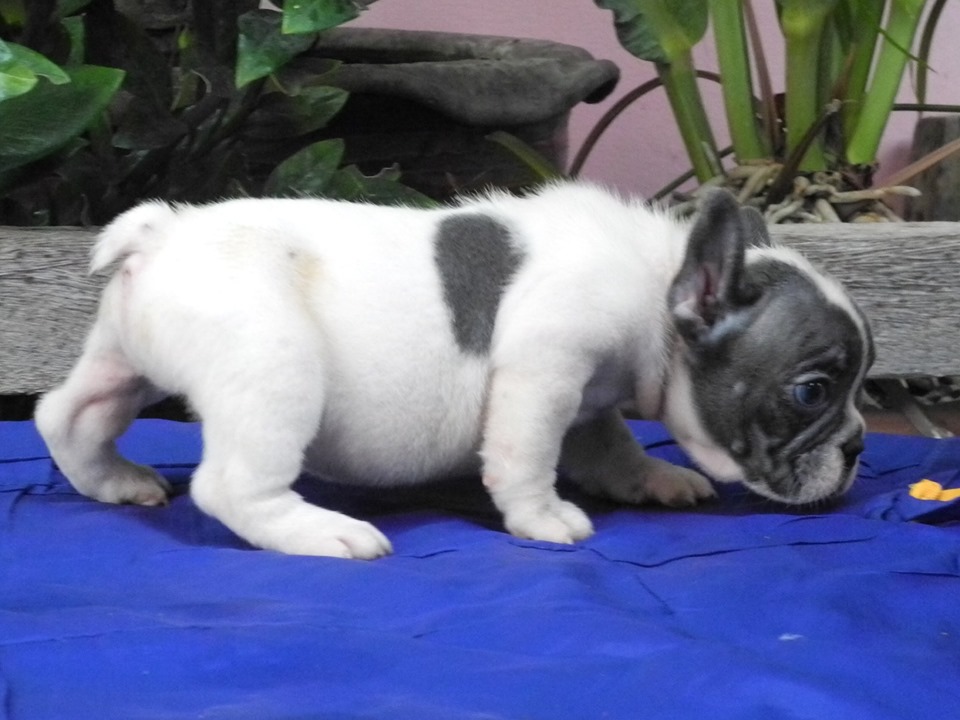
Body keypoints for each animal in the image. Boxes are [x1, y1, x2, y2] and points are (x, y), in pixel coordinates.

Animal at [35, 184, 874, 558]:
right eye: (812, 392)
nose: (860, 444)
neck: (657, 286)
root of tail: (161, 233)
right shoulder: (546, 367)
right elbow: (527, 455)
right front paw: (542, 518)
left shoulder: (590, 396)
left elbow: (610, 445)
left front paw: (653, 480)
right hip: (275, 362)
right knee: (231, 486)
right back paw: (322, 532)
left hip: (125, 356)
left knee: (68, 414)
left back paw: (114, 480)